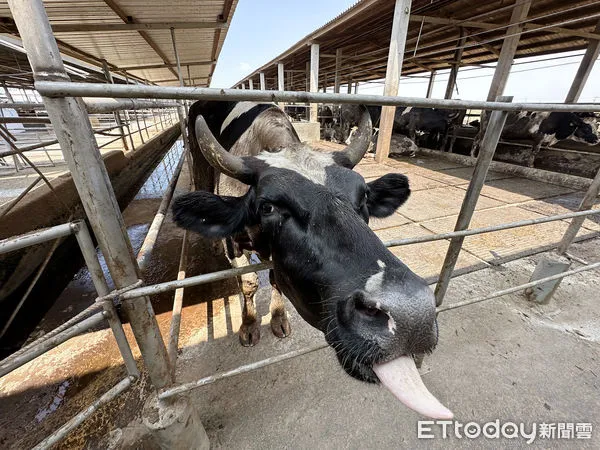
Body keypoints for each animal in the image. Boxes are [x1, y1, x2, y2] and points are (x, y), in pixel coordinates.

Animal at [171, 101, 452, 418]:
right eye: (267, 207)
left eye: (363, 197)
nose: (411, 317)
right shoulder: (235, 244)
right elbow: (249, 283)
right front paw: (249, 324)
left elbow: (274, 280)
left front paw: (278, 318)